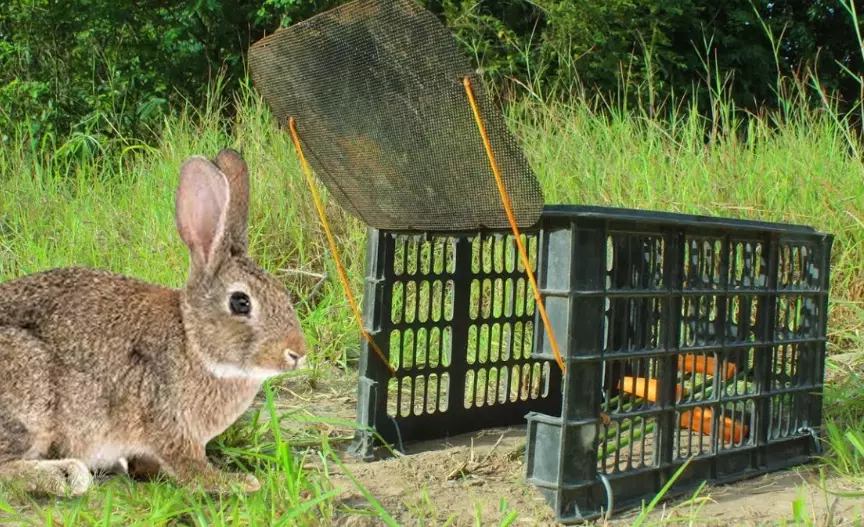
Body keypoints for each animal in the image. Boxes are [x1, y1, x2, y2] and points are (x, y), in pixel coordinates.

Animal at [0, 148, 307, 497]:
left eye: (283, 292)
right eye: (240, 302)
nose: (297, 353)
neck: (192, 342)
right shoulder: (169, 423)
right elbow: (191, 467)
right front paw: (236, 482)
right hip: (31, 395)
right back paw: (67, 475)